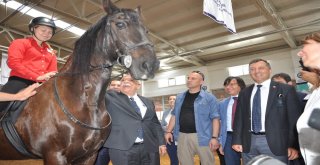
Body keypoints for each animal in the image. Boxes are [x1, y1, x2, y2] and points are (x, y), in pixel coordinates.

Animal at [0, 0, 159, 164]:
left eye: (146, 31)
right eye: (120, 24)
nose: (150, 65)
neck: (86, 101)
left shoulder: (89, 155)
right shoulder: (54, 155)